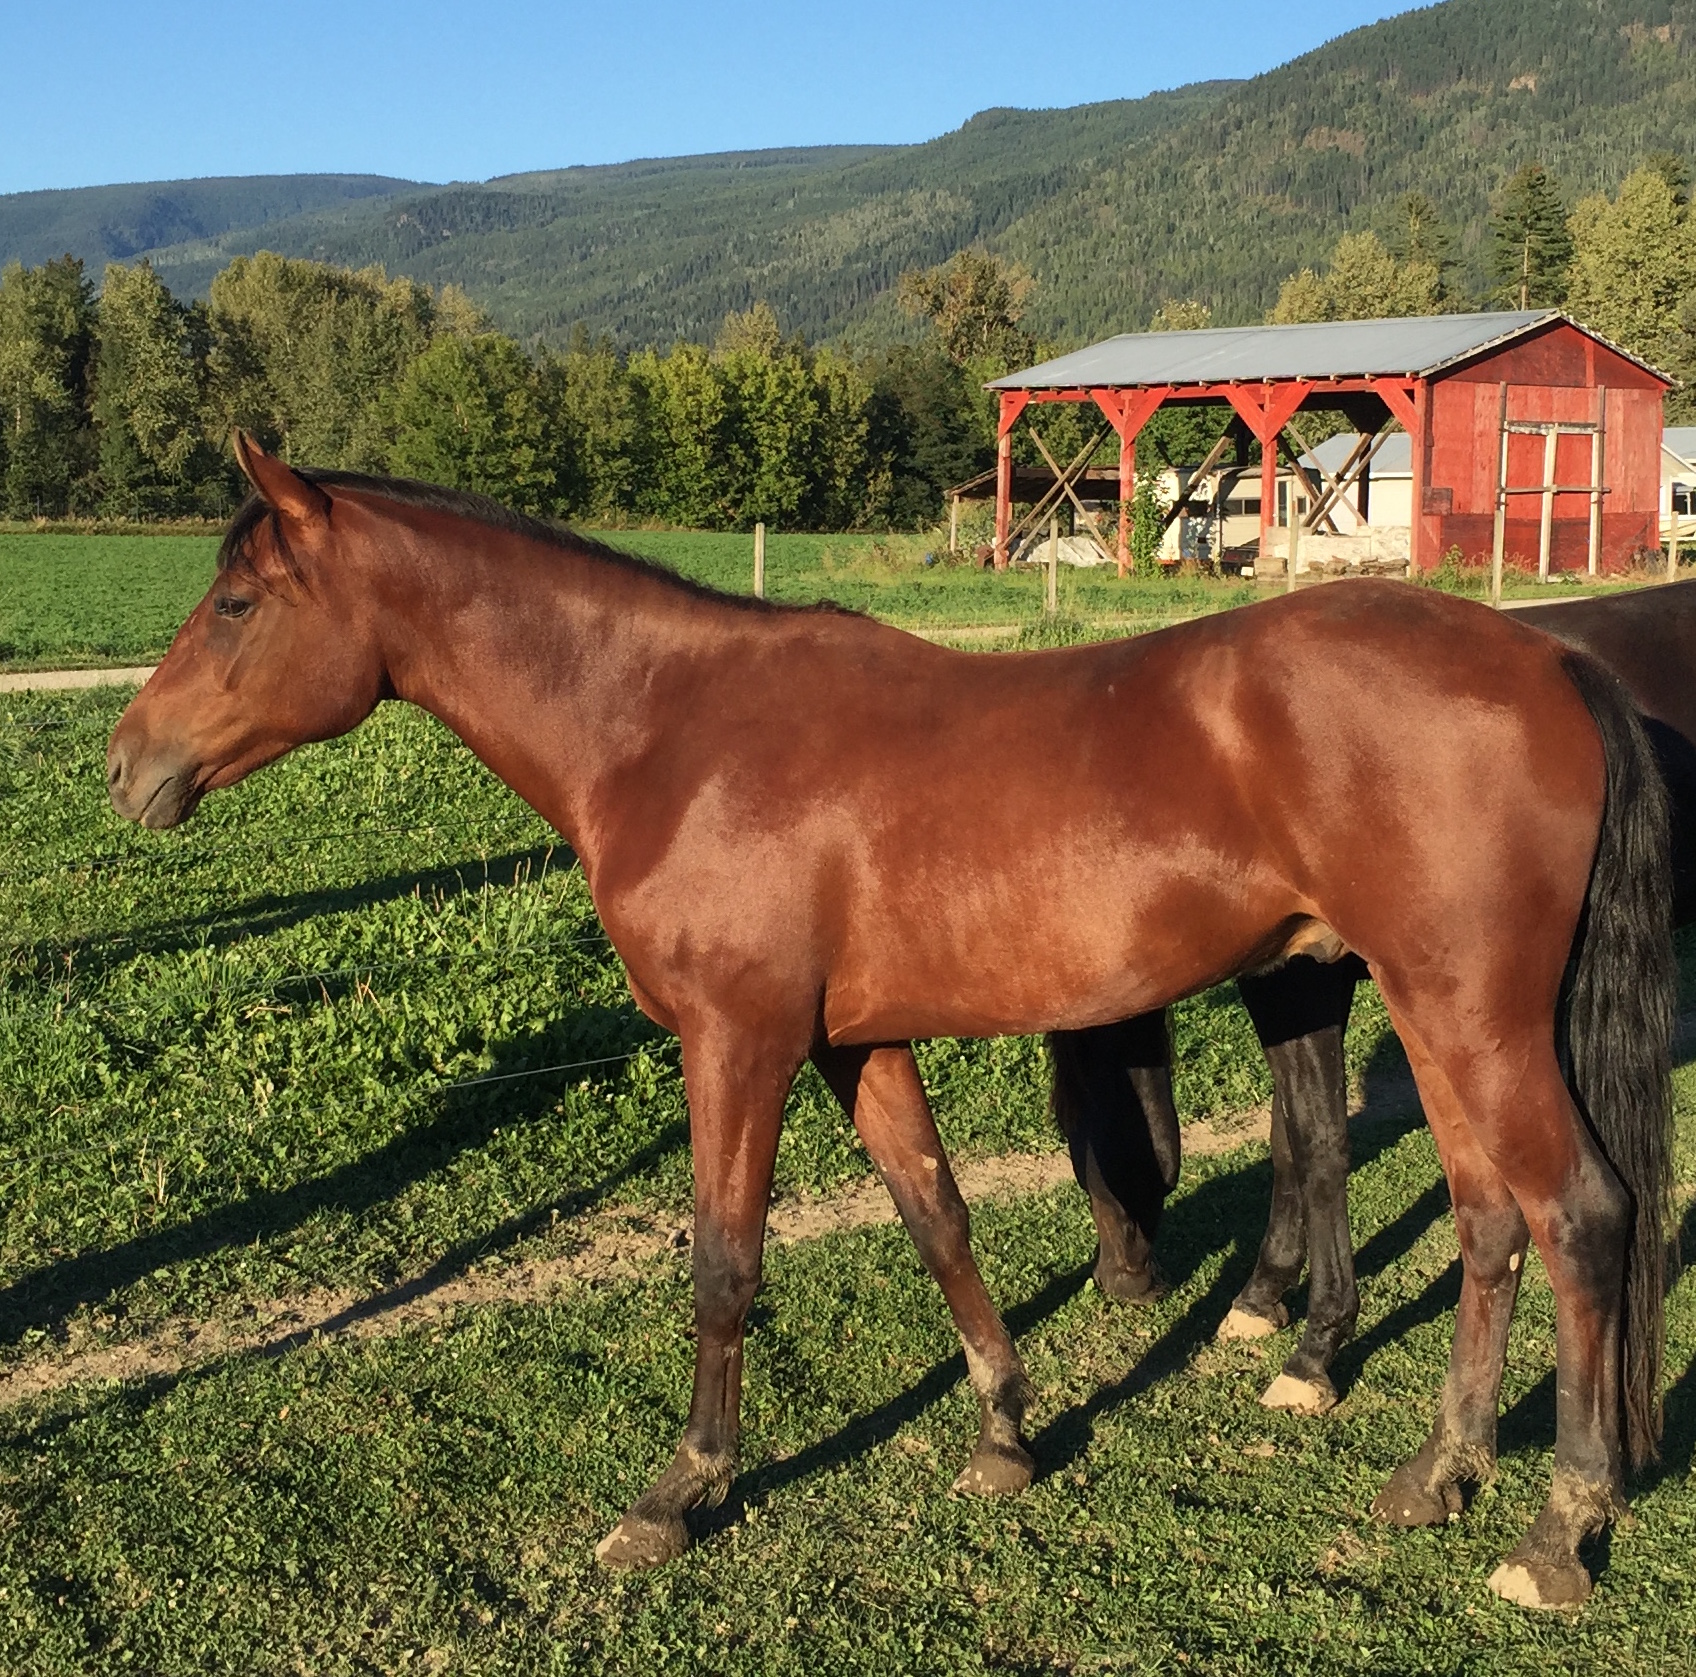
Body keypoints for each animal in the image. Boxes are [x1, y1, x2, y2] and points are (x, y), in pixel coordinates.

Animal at [1053, 580, 1696, 1425]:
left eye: (1078, 1126)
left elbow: (1317, 1145)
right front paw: (1265, 1294)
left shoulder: (1298, 979)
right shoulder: (1300, 982)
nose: (1122, 1280)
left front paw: (1315, 1344)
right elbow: (1291, 1138)